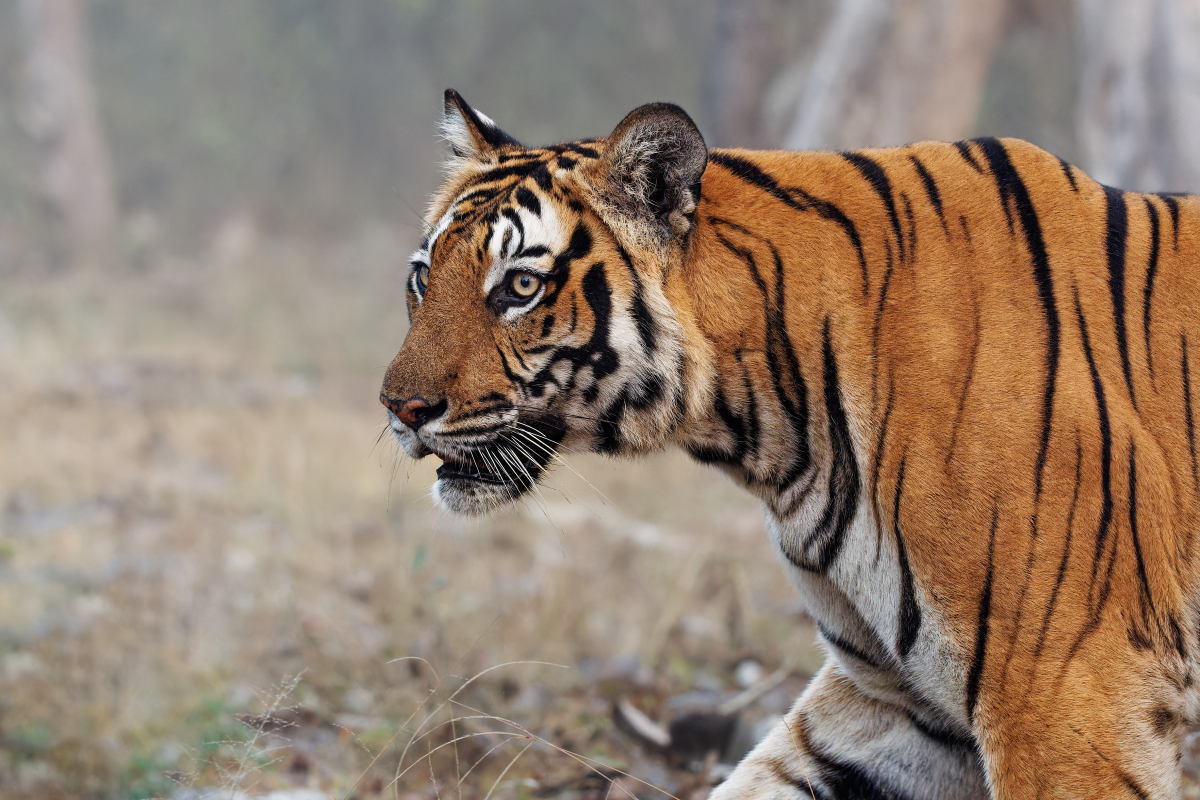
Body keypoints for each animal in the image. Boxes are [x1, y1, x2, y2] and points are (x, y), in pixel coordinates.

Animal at [379, 90, 1200, 796]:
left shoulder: (1063, 689)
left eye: (520, 288)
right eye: (422, 277)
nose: (399, 408)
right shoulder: (897, 704)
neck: (773, 436)